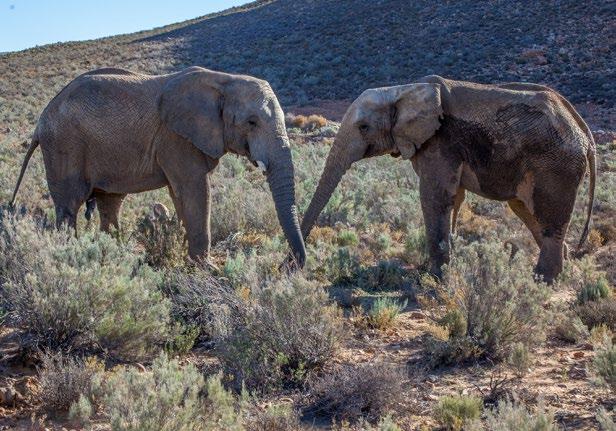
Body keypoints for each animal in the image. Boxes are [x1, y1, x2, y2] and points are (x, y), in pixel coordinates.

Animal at [10, 66, 306, 266]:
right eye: (252, 122)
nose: (290, 264)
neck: (223, 80)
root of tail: (41, 120)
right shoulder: (175, 138)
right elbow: (195, 190)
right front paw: (207, 268)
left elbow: (181, 196)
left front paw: (192, 261)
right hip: (64, 145)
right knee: (69, 205)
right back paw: (71, 256)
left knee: (110, 203)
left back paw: (115, 254)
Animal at [300, 75, 596, 284]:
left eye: (364, 128)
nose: (294, 265)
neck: (401, 89)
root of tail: (585, 133)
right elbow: (454, 199)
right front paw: (442, 267)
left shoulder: (440, 142)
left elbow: (435, 197)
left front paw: (435, 278)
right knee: (527, 211)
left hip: (556, 165)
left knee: (549, 219)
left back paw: (541, 282)